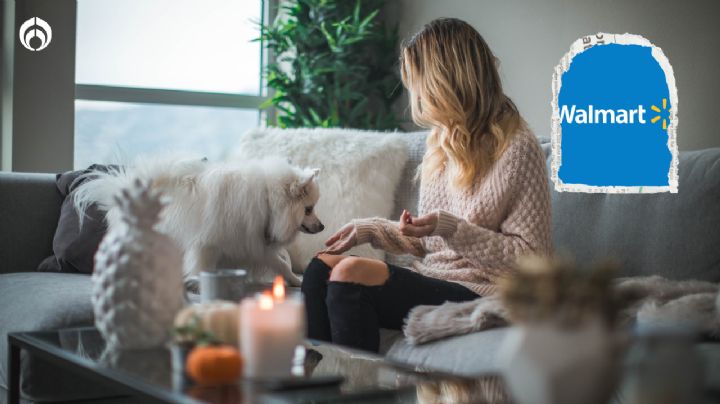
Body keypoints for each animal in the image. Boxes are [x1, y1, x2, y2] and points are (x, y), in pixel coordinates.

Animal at [74, 155, 324, 288]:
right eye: (308, 209)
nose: (322, 226)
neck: (267, 200)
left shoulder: (252, 242)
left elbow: (281, 263)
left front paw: (295, 280)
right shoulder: (209, 243)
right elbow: (202, 265)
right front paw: (196, 283)